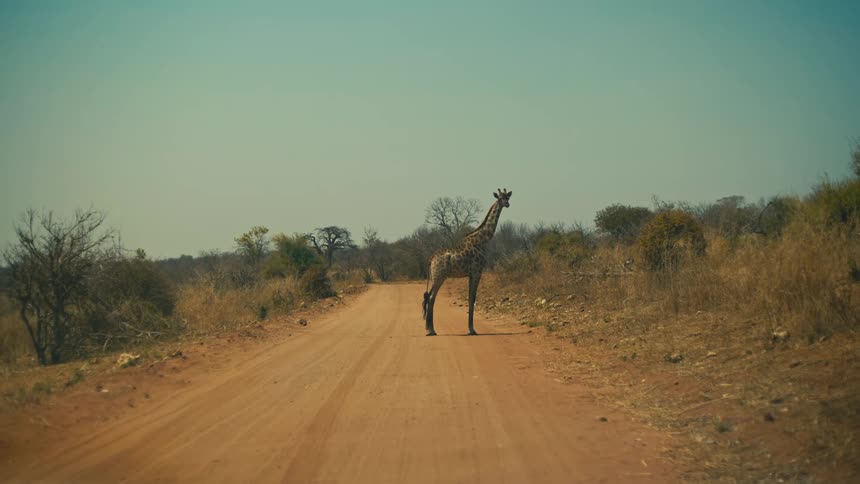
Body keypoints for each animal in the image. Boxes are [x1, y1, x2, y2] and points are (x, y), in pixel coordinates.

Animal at [422, 188, 513, 336]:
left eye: (507, 197)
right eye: (499, 198)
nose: (507, 204)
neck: (482, 240)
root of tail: (431, 258)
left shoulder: (471, 274)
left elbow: (470, 298)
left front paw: (470, 328)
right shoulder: (477, 272)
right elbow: (472, 299)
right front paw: (472, 329)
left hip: (436, 276)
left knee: (428, 297)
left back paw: (430, 329)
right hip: (439, 276)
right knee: (430, 298)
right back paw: (431, 330)